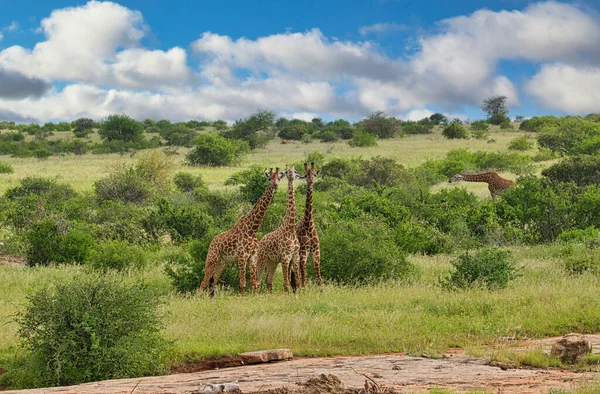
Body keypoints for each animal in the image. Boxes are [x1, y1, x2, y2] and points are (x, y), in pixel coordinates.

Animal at [200, 167, 284, 296]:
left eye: (279, 178)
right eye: (269, 178)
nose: (275, 185)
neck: (252, 229)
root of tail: (211, 242)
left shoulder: (253, 257)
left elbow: (254, 283)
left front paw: (255, 296)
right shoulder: (242, 256)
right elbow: (243, 283)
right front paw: (242, 297)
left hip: (221, 263)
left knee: (213, 283)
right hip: (211, 259)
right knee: (203, 283)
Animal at [251, 165, 302, 294]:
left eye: (295, 171)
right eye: (287, 171)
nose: (291, 175)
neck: (291, 227)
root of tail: (261, 239)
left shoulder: (295, 256)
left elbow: (297, 282)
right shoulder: (285, 256)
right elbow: (286, 284)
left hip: (272, 261)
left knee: (268, 280)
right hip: (262, 258)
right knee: (258, 281)